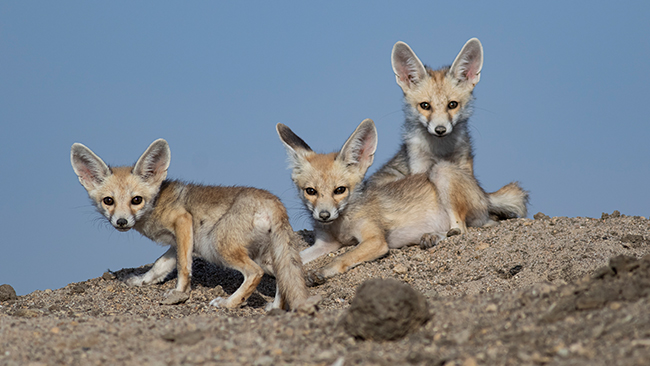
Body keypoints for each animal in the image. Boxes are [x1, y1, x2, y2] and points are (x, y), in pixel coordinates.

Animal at [71, 139, 312, 310]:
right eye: (108, 201)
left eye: (136, 200)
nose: (121, 221)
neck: (157, 203)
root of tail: (274, 201)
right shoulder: (177, 241)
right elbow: (160, 265)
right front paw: (142, 280)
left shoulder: (183, 222)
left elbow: (183, 268)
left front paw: (180, 294)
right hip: (267, 254)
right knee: (283, 277)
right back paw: (275, 307)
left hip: (218, 245)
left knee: (255, 273)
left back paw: (229, 303)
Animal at [276, 118, 488, 284]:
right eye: (311, 191)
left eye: (339, 190)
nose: (324, 215)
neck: (341, 226)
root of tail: (484, 193)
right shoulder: (324, 245)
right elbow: (291, 259)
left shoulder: (375, 240)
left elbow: (342, 257)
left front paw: (323, 271)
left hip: (441, 172)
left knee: (460, 230)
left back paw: (434, 236)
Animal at [364, 38, 528, 224]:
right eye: (425, 106)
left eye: (452, 105)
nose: (440, 130)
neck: (440, 150)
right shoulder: (418, 164)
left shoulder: (464, 163)